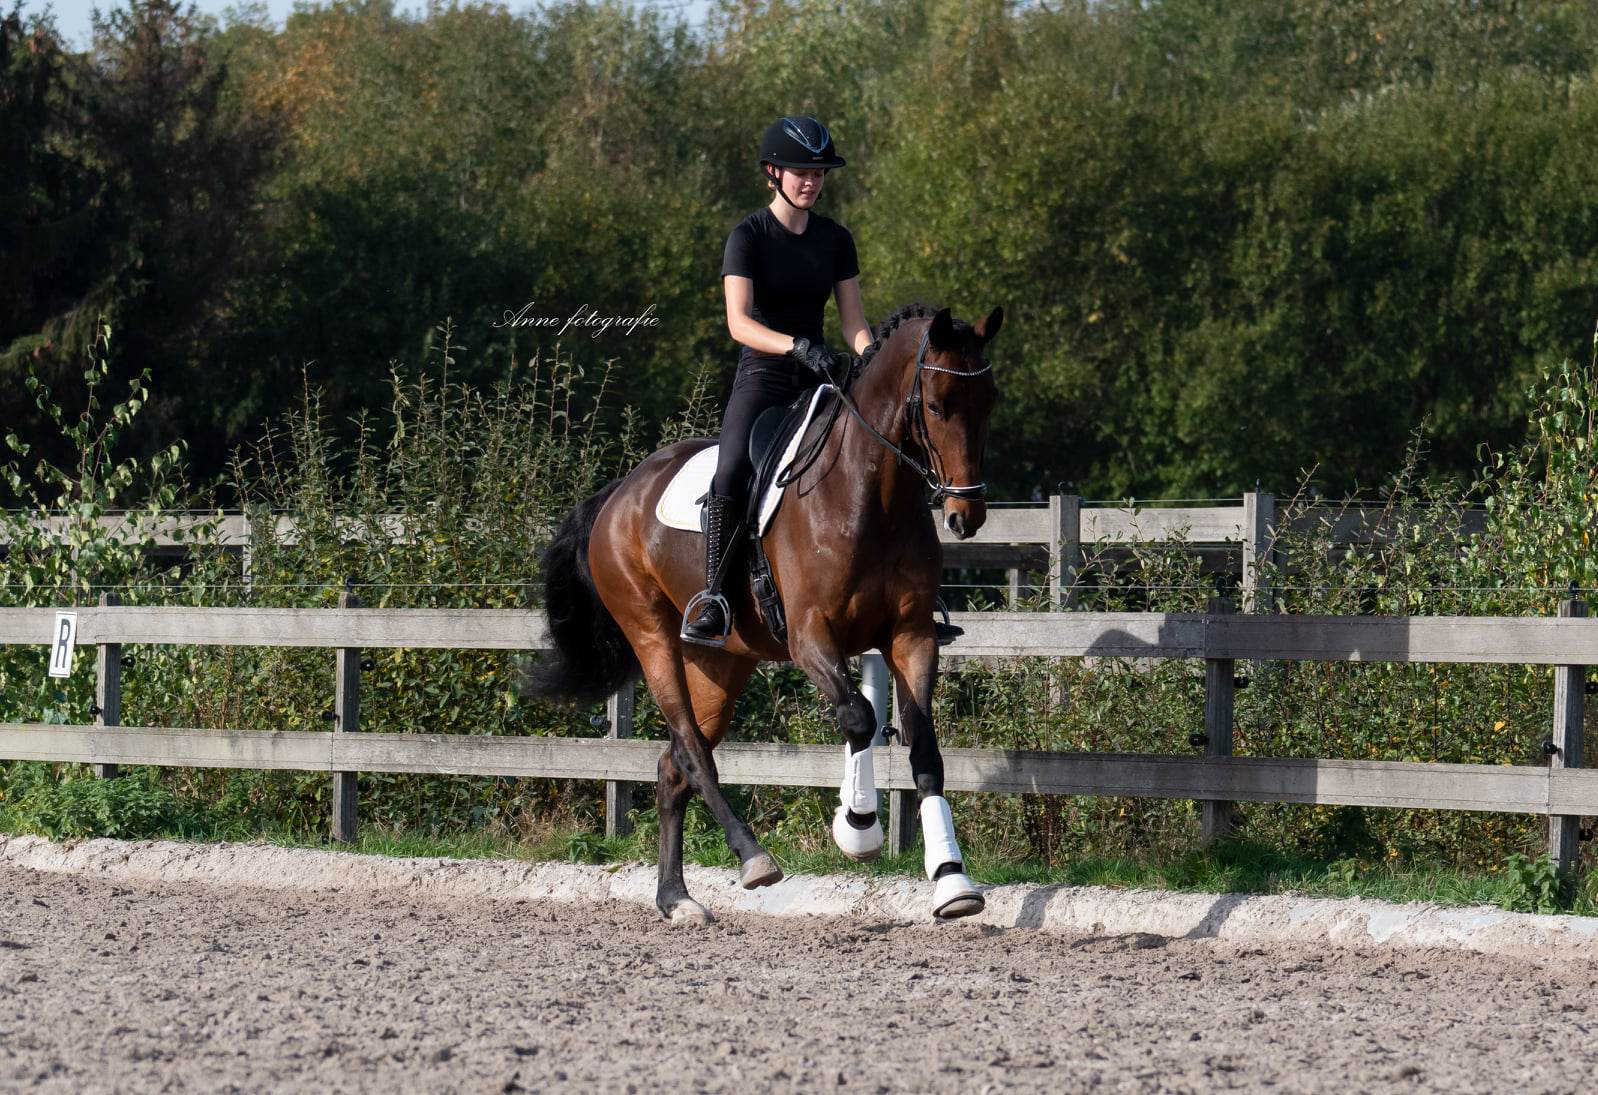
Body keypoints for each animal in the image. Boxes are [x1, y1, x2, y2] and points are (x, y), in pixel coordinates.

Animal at [531, 302, 1003, 923]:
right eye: (935, 405)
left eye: (988, 402)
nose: (964, 516)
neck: (868, 492)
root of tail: (617, 493)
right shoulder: (810, 636)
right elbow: (859, 717)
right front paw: (857, 827)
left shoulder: (911, 636)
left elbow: (922, 746)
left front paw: (952, 880)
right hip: (651, 636)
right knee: (692, 751)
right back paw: (752, 858)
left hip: (722, 664)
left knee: (672, 767)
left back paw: (676, 898)